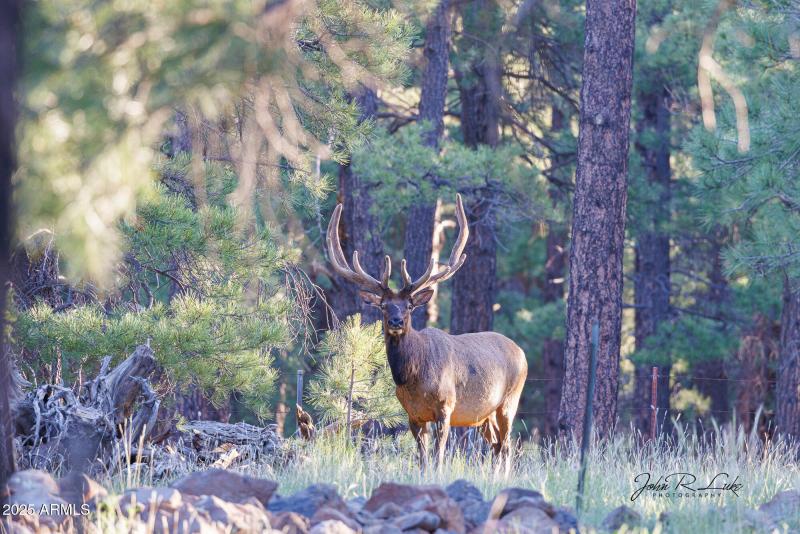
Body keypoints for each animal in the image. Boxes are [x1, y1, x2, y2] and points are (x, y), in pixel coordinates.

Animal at [326, 194, 528, 469]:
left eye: (409, 306)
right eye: (383, 306)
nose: (397, 322)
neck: (413, 378)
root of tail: (522, 353)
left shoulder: (446, 406)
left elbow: (438, 456)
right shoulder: (413, 415)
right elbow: (422, 458)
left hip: (509, 401)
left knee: (506, 446)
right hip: (484, 415)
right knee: (497, 445)